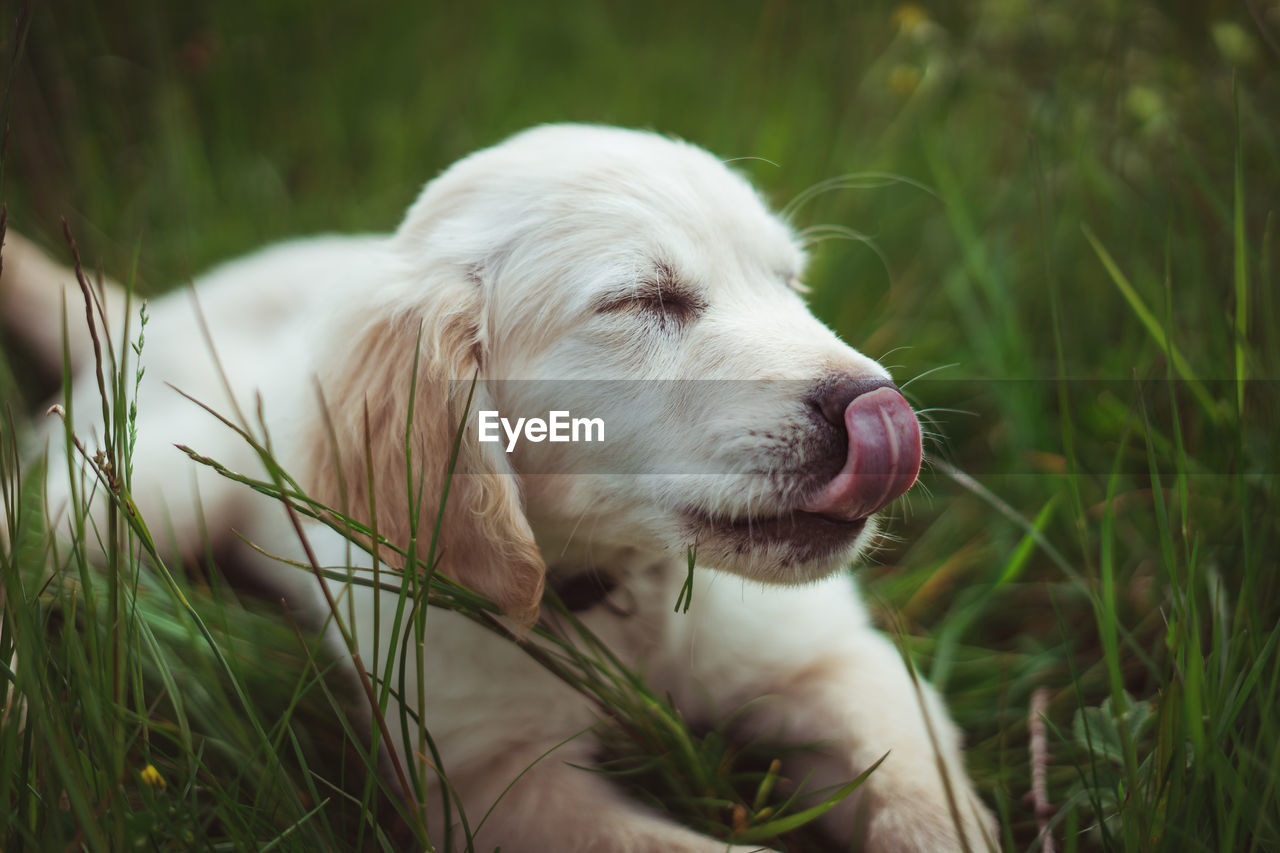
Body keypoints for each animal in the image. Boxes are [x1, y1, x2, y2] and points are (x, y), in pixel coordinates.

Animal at [2, 126, 998, 850]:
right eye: (642, 300)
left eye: (791, 283)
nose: (879, 410)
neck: (612, 596)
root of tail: (155, 308)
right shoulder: (488, 783)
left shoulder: (835, 659)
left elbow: (919, 783)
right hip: (137, 490)